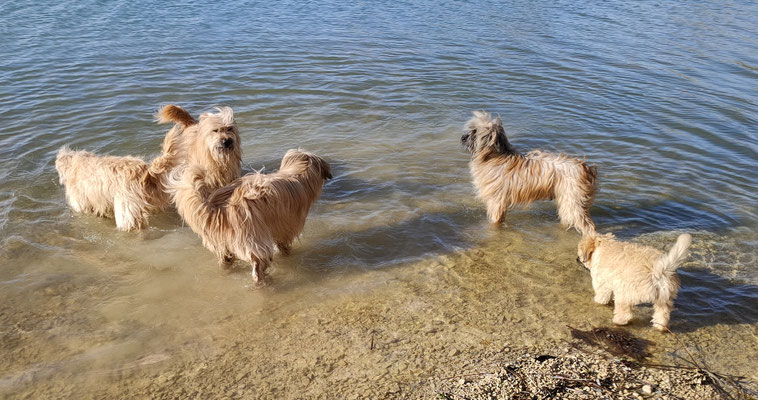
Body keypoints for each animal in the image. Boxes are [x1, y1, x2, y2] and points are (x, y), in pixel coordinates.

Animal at [172, 150, 332, 284]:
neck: (297, 173)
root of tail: (222, 208)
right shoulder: (286, 227)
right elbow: (284, 243)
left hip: (222, 243)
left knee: (225, 259)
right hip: (254, 239)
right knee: (258, 266)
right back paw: (263, 281)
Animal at [464, 110, 600, 234]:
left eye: (474, 131)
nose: (463, 138)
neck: (494, 156)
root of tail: (587, 169)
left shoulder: (497, 200)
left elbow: (496, 218)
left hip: (574, 201)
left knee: (588, 226)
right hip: (566, 200)